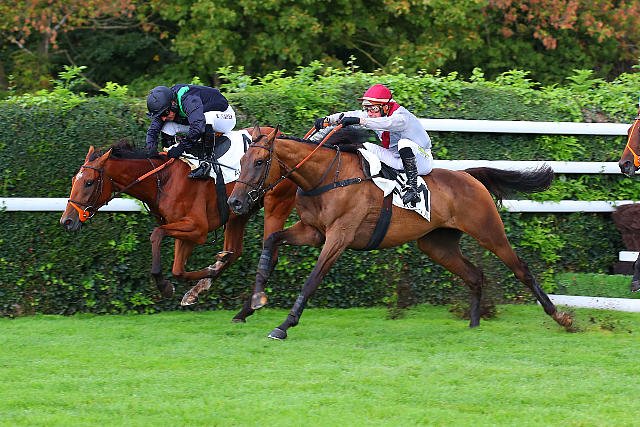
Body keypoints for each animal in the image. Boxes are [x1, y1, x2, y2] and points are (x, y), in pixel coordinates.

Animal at [59, 127, 297, 322]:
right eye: (73, 180)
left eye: (89, 182)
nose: (67, 221)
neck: (163, 179)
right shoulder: (186, 231)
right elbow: (178, 270)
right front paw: (197, 285)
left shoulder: (197, 228)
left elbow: (156, 234)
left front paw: (165, 286)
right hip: (238, 211)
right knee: (234, 251)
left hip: (275, 203)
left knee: (269, 251)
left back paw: (247, 306)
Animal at [227, 125, 573, 339]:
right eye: (242, 159)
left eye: (260, 161)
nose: (235, 201)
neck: (328, 176)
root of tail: (469, 176)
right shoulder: (313, 231)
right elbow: (271, 243)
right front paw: (253, 302)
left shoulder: (339, 237)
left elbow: (312, 279)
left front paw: (284, 325)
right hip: (437, 245)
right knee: (475, 275)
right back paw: (474, 325)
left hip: (489, 232)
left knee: (521, 269)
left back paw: (561, 318)